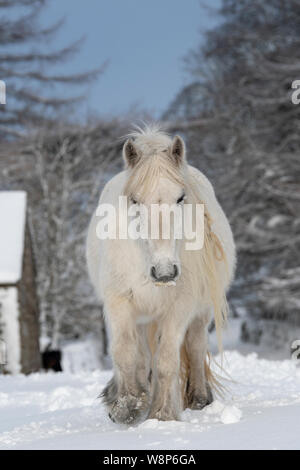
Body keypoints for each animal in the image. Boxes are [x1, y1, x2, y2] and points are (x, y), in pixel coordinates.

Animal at [85, 124, 236, 422]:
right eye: (135, 200)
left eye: (180, 198)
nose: (164, 272)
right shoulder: (119, 302)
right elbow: (124, 352)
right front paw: (126, 404)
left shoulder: (179, 307)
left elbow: (167, 360)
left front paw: (162, 415)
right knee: (141, 354)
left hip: (199, 314)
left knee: (195, 345)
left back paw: (199, 399)